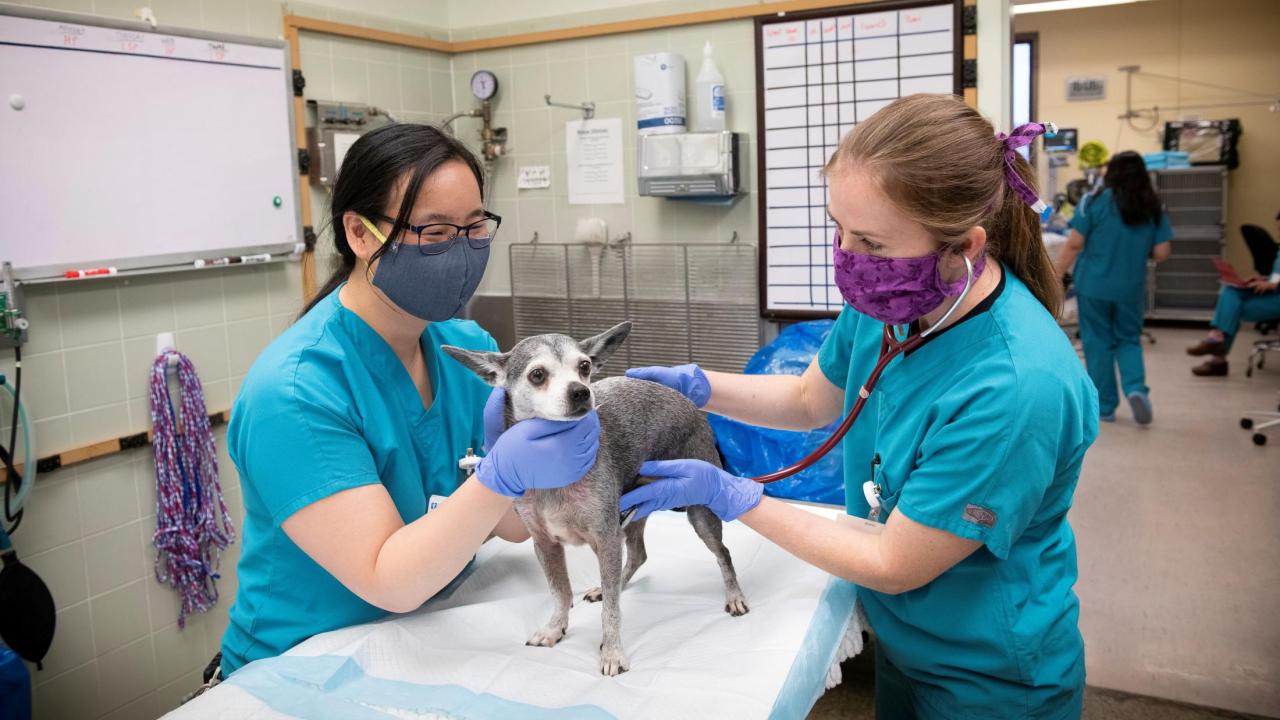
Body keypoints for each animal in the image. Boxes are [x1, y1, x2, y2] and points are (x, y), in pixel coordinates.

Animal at [442, 322, 747, 676]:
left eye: (584, 367)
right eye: (537, 375)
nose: (580, 391)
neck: (556, 463)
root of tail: (691, 404)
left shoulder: (605, 537)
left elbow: (612, 611)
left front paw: (612, 651)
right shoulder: (545, 543)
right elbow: (560, 592)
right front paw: (555, 627)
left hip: (697, 508)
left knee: (722, 552)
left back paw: (734, 595)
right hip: (633, 510)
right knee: (638, 555)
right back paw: (608, 585)